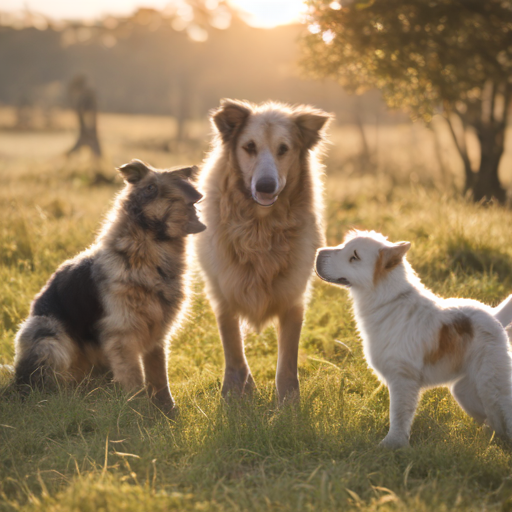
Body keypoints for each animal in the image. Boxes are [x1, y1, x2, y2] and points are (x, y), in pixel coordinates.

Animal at [12, 161, 204, 416]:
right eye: (150, 187)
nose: (197, 195)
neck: (145, 254)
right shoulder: (123, 335)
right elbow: (135, 380)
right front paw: (141, 414)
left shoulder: (157, 336)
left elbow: (159, 377)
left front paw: (168, 411)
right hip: (49, 338)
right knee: (48, 383)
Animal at [196, 100, 332, 404]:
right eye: (249, 147)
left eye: (284, 149)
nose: (266, 186)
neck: (259, 227)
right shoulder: (222, 293)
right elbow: (233, 349)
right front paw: (236, 395)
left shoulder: (294, 297)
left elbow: (288, 360)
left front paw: (288, 403)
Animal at [316, 232, 512, 448]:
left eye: (354, 257)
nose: (318, 253)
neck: (388, 300)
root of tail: (494, 316)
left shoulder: (403, 380)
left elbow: (398, 416)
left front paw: (392, 445)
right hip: (467, 394)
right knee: (494, 421)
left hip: (492, 387)